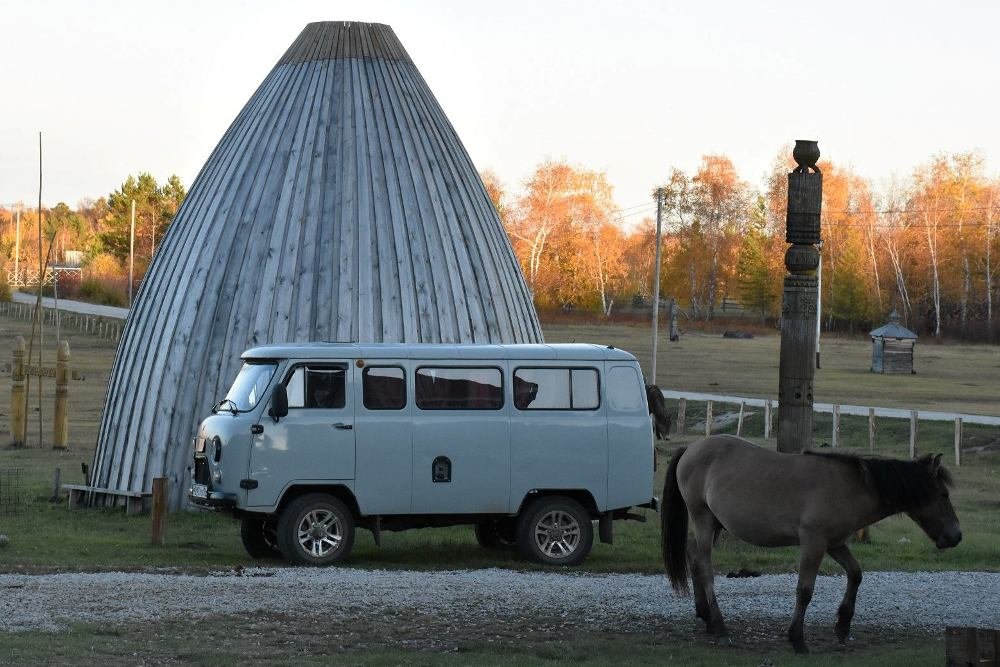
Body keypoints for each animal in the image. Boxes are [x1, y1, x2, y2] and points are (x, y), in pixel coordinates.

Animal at [664, 436, 960, 656]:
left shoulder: (835, 544)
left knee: (694, 559)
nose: (956, 536)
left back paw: (705, 617)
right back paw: (721, 627)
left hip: (714, 524)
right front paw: (797, 639)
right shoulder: (813, 544)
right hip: (702, 519)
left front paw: (843, 624)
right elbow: (805, 591)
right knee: (704, 567)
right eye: (944, 494)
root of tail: (691, 448)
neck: (850, 487)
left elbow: (856, 574)